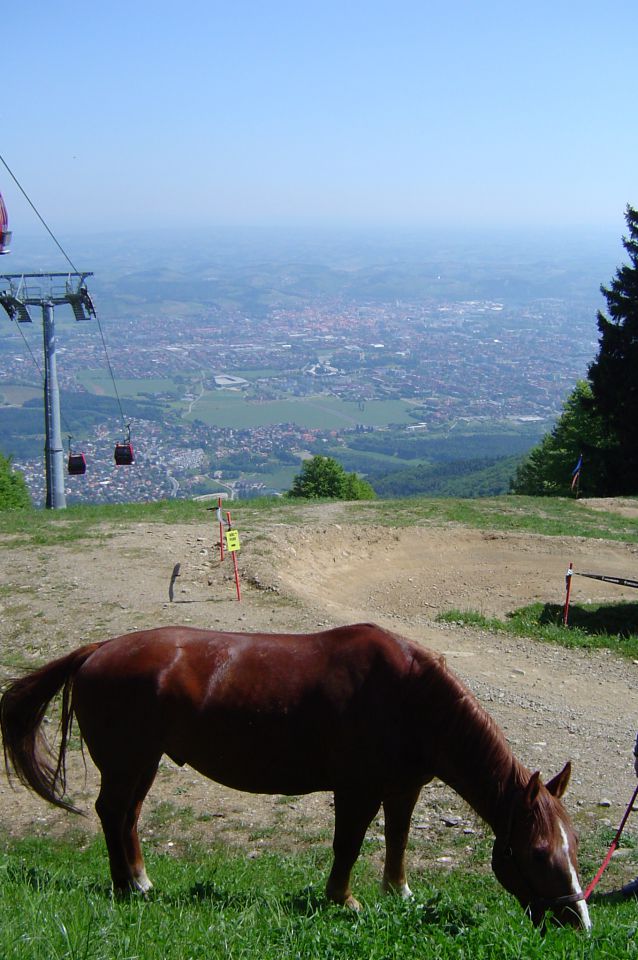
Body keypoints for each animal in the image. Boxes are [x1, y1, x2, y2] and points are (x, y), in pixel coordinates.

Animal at [0, 624, 592, 928]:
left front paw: (398, 892)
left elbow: (397, 840)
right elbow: (348, 846)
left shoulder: (403, 789)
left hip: (143, 764)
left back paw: (140, 881)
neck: (412, 697)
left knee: (127, 817)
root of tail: (95, 650)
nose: (579, 921)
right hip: (128, 762)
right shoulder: (357, 790)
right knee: (111, 814)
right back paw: (126, 886)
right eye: (538, 853)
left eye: (576, 846)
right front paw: (343, 900)